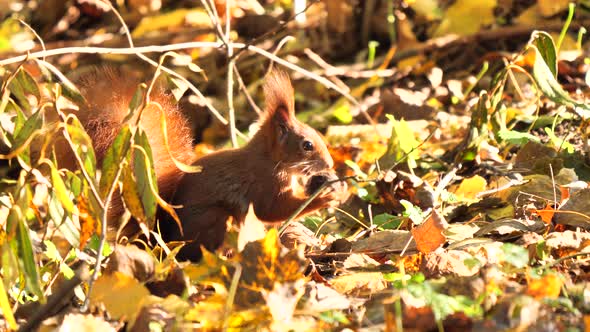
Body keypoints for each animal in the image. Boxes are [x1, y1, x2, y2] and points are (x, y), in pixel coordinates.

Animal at [71, 67, 346, 260]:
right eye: (307, 145)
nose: (329, 162)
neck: (270, 160)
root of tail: (165, 241)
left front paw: (330, 186)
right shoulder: (263, 184)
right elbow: (275, 209)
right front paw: (326, 197)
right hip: (217, 220)